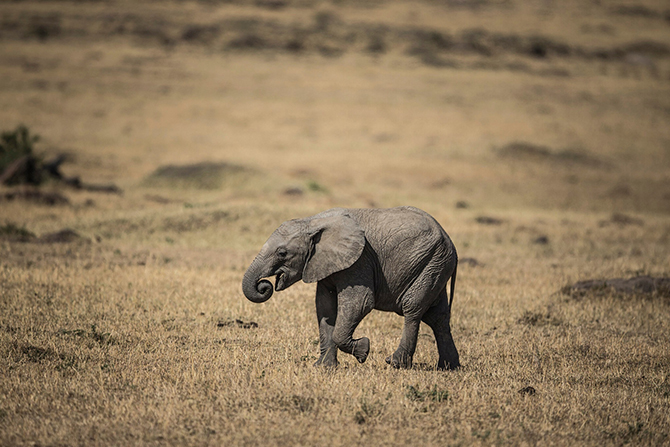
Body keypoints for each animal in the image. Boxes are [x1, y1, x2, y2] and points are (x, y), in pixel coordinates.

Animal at [243, 206, 462, 372]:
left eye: (282, 253)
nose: (264, 285)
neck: (313, 222)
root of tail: (450, 242)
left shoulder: (359, 260)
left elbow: (361, 302)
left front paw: (364, 350)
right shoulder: (326, 264)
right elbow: (325, 307)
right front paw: (323, 368)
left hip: (430, 263)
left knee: (413, 309)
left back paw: (396, 363)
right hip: (435, 266)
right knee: (438, 317)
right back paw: (449, 368)